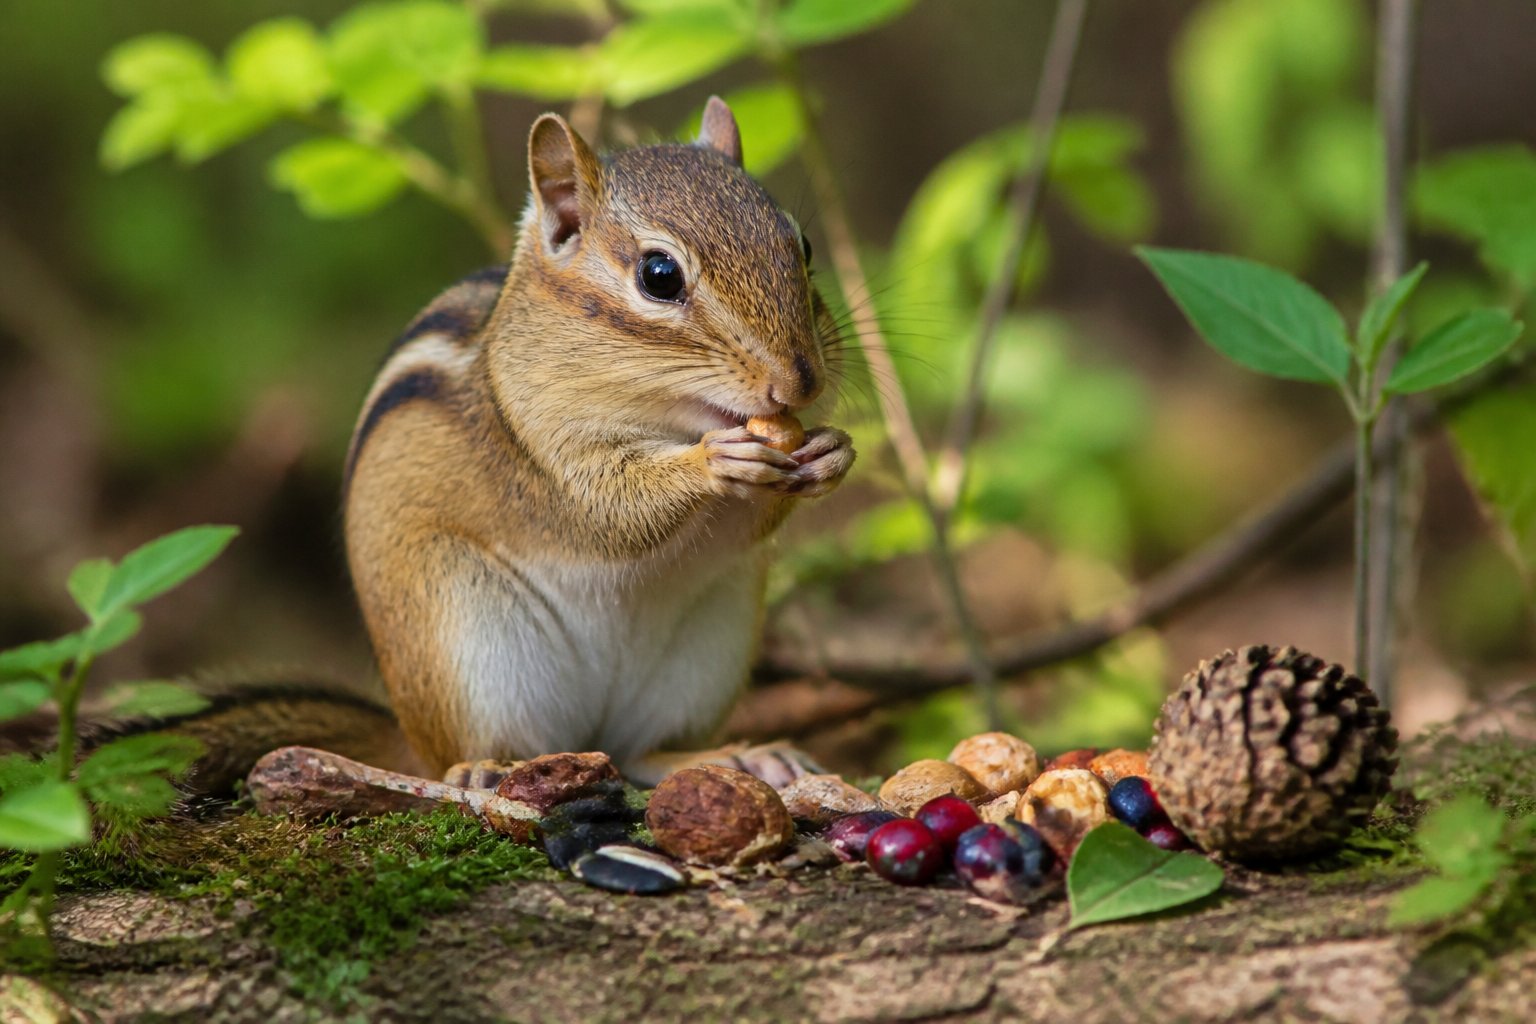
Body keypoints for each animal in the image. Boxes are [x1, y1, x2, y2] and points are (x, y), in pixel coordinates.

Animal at [13, 98, 854, 794]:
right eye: (658, 274)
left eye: (804, 244)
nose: (799, 381)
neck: (667, 417)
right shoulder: (536, 458)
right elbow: (607, 512)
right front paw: (717, 462)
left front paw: (831, 453)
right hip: (464, 637)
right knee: (476, 755)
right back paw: (484, 771)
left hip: (708, 645)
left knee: (644, 751)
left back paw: (747, 757)